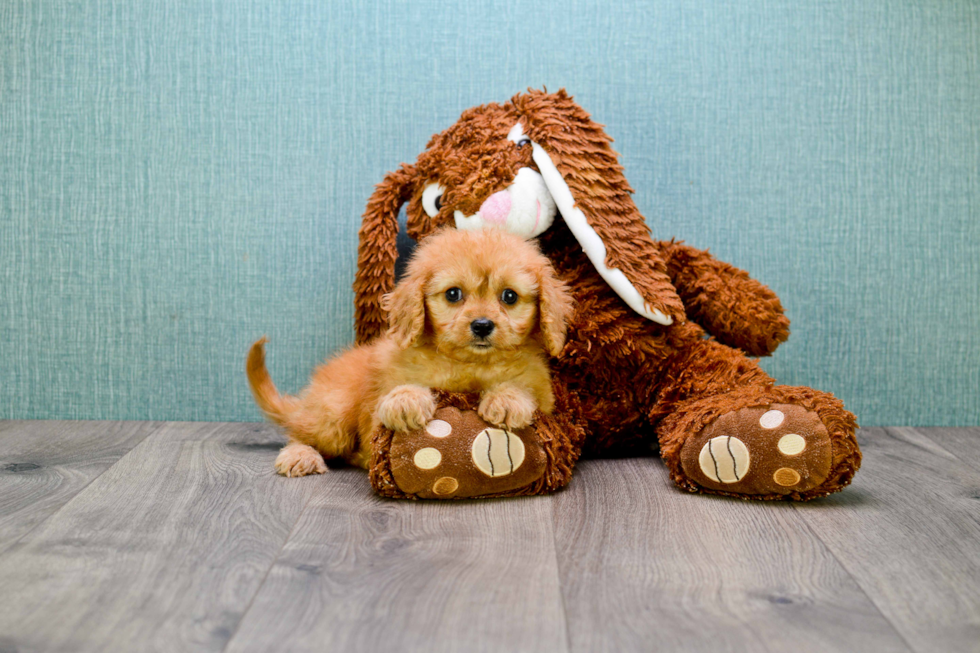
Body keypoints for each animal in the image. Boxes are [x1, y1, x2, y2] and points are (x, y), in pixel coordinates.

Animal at [244, 227, 576, 476]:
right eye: (453, 294)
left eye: (509, 296)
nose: (482, 325)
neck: (469, 364)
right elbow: (398, 390)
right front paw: (406, 401)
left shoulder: (546, 399)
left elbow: (525, 389)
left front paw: (507, 399)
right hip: (333, 415)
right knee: (300, 433)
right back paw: (300, 455)